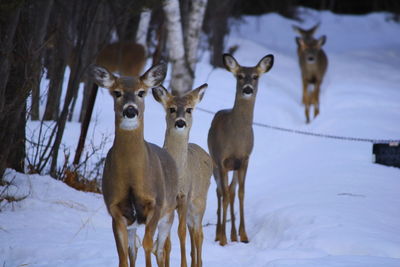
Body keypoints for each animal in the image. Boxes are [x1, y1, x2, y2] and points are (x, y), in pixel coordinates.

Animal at [91, 63, 179, 267]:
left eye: (141, 92)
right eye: (117, 92)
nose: (130, 110)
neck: (132, 175)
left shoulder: (156, 204)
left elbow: (149, 245)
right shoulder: (116, 210)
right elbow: (123, 254)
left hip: (169, 213)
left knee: (161, 249)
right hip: (135, 223)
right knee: (135, 250)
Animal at [153, 84, 214, 267]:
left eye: (189, 109)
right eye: (171, 109)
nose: (180, 122)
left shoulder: (185, 196)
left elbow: (181, 233)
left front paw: (184, 264)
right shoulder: (166, 201)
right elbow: (166, 241)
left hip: (200, 200)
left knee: (198, 233)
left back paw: (198, 263)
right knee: (193, 229)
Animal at [206, 54, 276, 247]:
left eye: (255, 77)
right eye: (239, 76)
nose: (247, 89)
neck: (236, 138)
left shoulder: (244, 160)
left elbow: (241, 193)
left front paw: (244, 235)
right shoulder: (222, 160)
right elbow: (224, 194)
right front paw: (222, 239)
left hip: (234, 168)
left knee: (231, 191)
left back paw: (233, 234)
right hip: (214, 163)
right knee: (220, 192)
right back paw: (219, 234)